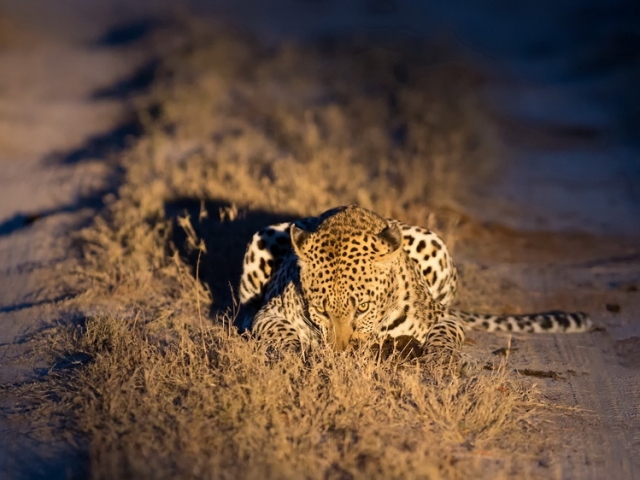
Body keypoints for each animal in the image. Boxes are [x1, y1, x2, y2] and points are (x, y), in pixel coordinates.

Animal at [237, 204, 591, 367]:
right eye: (321, 311)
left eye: (362, 308)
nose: (341, 353)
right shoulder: (272, 314)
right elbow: (281, 332)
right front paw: (291, 354)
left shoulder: (445, 319)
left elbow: (444, 336)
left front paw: (439, 359)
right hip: (265, 235)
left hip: (433, 242)